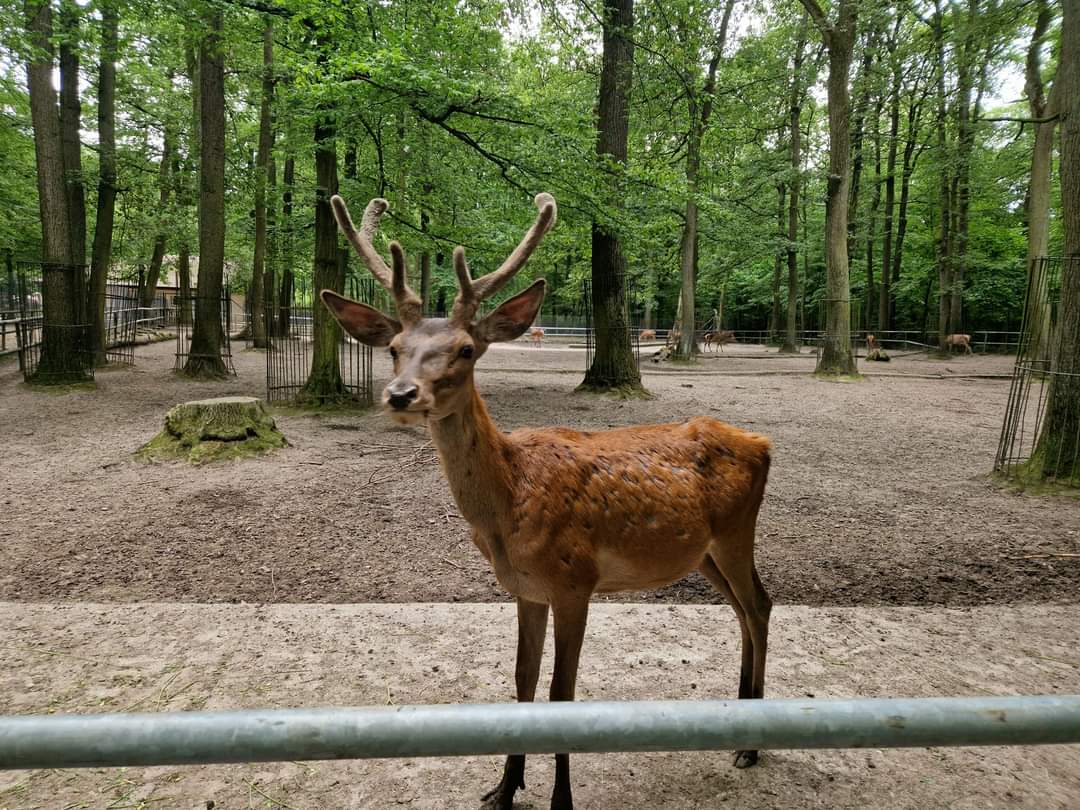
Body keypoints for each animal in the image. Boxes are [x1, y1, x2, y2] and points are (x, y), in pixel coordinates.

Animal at [321, 193, 773, 810]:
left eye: (466, 349)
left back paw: (753, 743)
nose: (400, 394)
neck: (508, 514)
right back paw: (741, 717)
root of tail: (763, 444)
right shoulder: (525, 589)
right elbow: (522, 682)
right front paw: (504, 787)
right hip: (702, 552)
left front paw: (561, 798)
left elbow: (562, 693)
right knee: (745, 610)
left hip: (734, 531)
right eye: (394, 349)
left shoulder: (574, 581)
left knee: (759, 606)